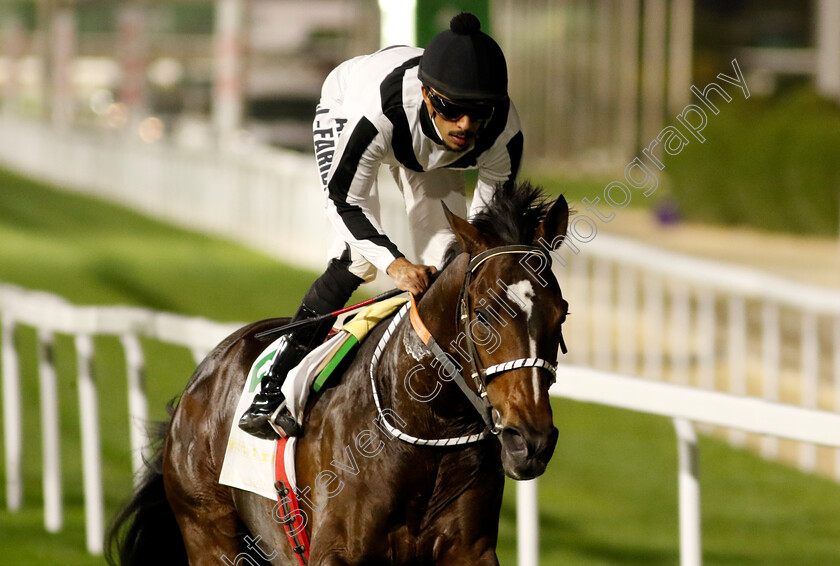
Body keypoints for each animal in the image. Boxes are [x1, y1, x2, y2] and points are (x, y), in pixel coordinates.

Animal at [106, 180, 572, 564]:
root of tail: (205, 372)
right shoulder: (337, 551)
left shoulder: (468, 550)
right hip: (209, 533)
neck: (427, 423)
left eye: (561, 314)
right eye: (484, 314)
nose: (531, 441)